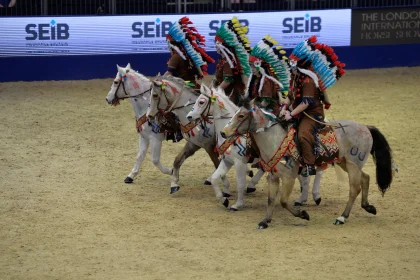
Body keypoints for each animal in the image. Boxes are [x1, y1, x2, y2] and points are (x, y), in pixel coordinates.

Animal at [221, 99, 396, 229]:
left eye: (241, 115)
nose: (223, 132)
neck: (275, 140)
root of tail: (365, 127)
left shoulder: (289, 178)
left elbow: (283, 201)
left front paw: (303, 214)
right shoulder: (273, 176)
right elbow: (271, 199)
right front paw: (265, 221)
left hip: (353, 164)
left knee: (355, 189)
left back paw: (342, 217)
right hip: (345, 163)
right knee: (365, 178)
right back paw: (368, 207)